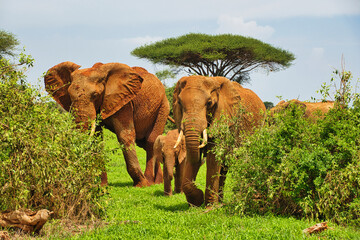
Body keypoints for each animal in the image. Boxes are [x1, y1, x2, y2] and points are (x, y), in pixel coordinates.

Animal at [173, 74, 266, 206]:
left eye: (209, 103)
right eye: (180, 103)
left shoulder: (223, 119)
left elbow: (213, 158)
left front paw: (209, 207)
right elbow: (193, 155)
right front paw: (198, 201)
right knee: (224, 168)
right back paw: (221, 202)